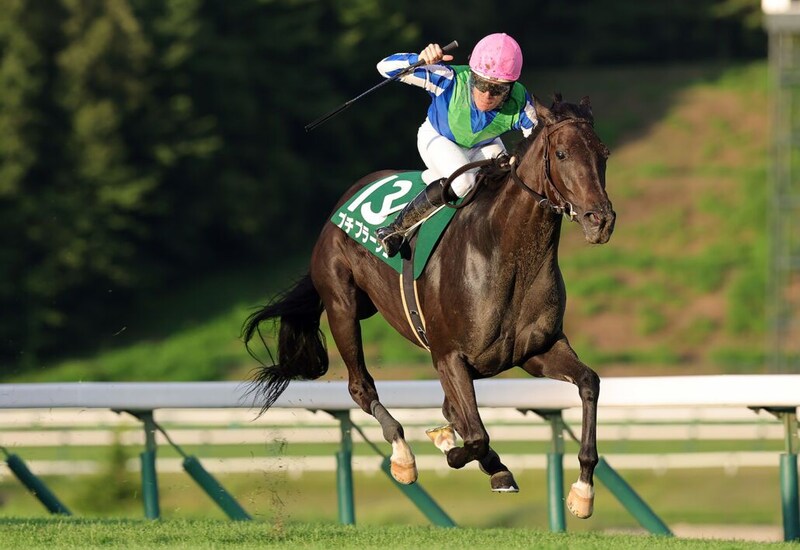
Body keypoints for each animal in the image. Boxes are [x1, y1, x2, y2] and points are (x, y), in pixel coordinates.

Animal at [243, 94, 615, 519]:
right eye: (562, 153)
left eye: (603, 153)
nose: (600, 220)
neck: (506, 254)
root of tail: (343, 201)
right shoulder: (448, 356)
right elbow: (476, 435)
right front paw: (457, 452)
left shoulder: (535, 351)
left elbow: (589, 383)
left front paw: (582, 490)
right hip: (342, 306)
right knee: (361, 387)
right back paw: (403, 455)